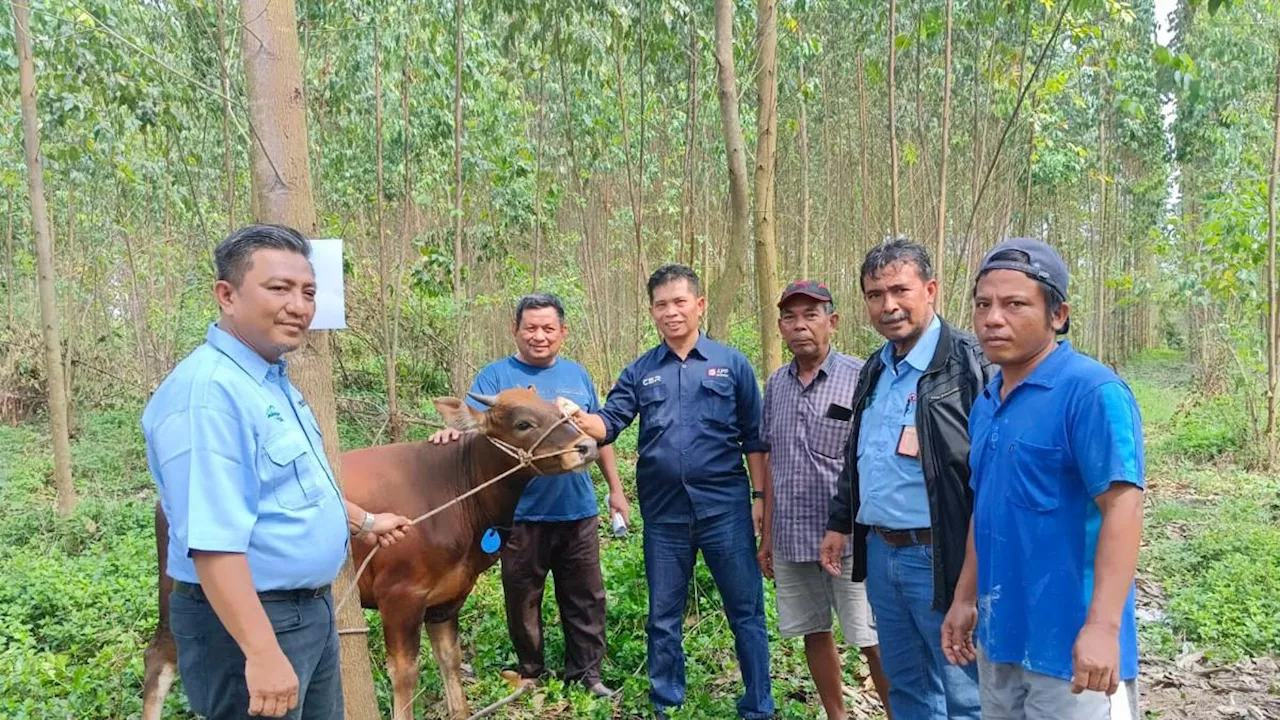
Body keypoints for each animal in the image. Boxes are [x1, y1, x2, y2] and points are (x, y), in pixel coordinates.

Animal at [140, 386, 599, 717]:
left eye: (558, 409)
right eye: (523, 422)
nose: (586, 446)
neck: (460, 492)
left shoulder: (446, 600)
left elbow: (450, 662)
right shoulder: (401, 597)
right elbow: (405, 674)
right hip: (179, 591)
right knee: (161, 658)